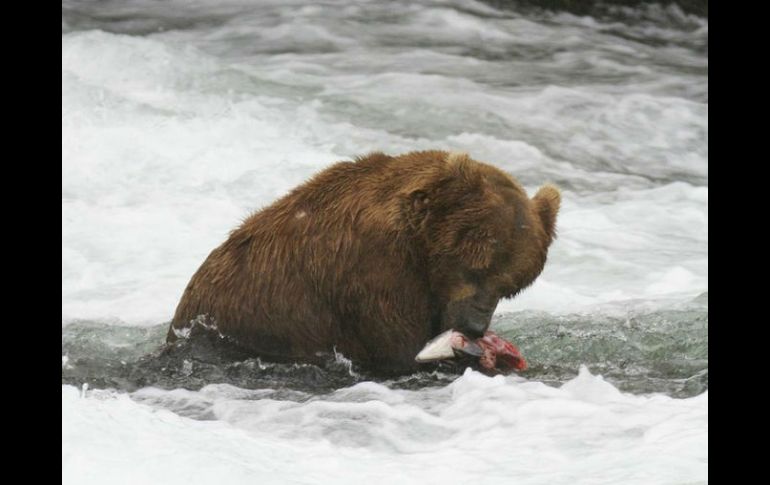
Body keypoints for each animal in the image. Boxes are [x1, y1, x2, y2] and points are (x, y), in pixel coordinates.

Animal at [166, 151, 560, 374]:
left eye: (511, 286)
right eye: (476, 267)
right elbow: (400, 353)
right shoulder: (373, 273)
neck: (420, 248)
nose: (475, 325)